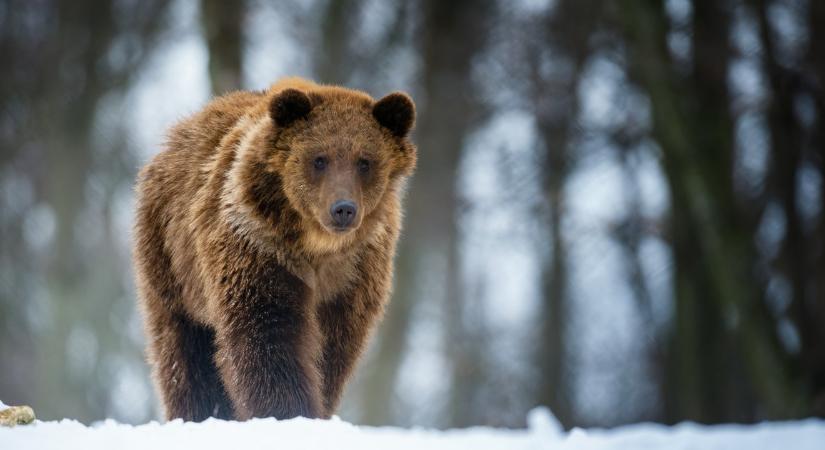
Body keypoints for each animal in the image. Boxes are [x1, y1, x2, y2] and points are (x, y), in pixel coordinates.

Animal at [136, 78, 418, 422]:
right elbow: (269, 329)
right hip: (171, 260)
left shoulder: (354, 271)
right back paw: (200, 411)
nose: (343, 209)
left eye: (365, 161)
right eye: (319, 158)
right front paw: (288, 411)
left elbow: (334, 348)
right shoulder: (258, 243)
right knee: (184, 349)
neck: (316, 248)